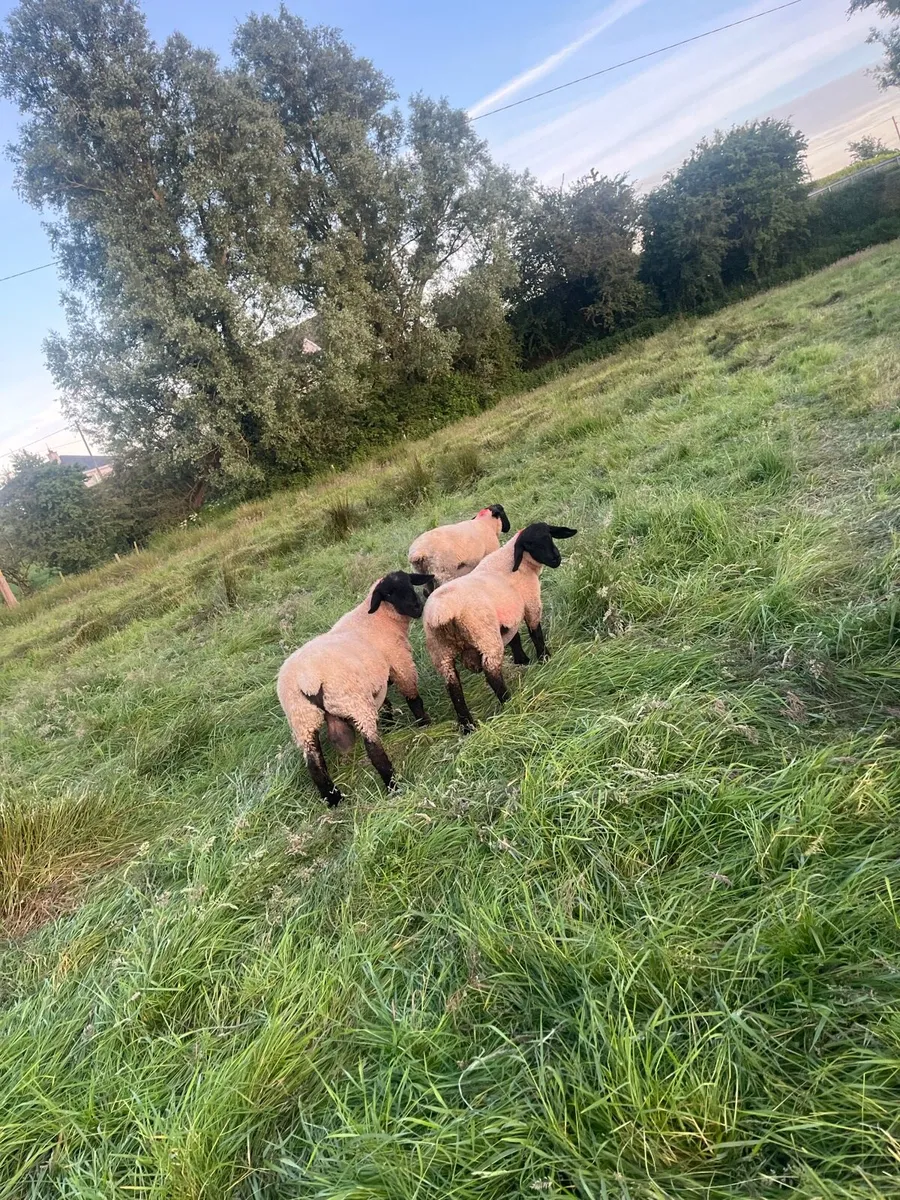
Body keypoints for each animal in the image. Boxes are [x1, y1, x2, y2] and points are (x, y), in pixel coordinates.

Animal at [277, 571, 434, 806]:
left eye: (409, 582)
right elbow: (413, 699)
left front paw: (390, 724)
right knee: (373, 750)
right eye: (388, 593)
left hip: (302, 718)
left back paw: (334, 799)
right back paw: (393, 785)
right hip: (354, 703)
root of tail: (307, 679)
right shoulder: (401, 665)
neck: (377, 618)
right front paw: (425, 724)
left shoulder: (375, 681)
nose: (416, 607)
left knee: (314, 764)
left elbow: (386, 704)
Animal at [423, 523, 577, 732]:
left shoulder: (507, 615)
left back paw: (467, 726)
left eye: (549, 536)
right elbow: (535, 632)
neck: (517, 564)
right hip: (485, 635)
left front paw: (523, 660)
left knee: (453, 686)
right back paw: (509, 701)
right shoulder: (530, 603)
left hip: (440, 651)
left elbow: (515, 637)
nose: (556, 558)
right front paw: (545, 658)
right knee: (491, 672)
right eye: (530, 544)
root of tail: (441, 614)